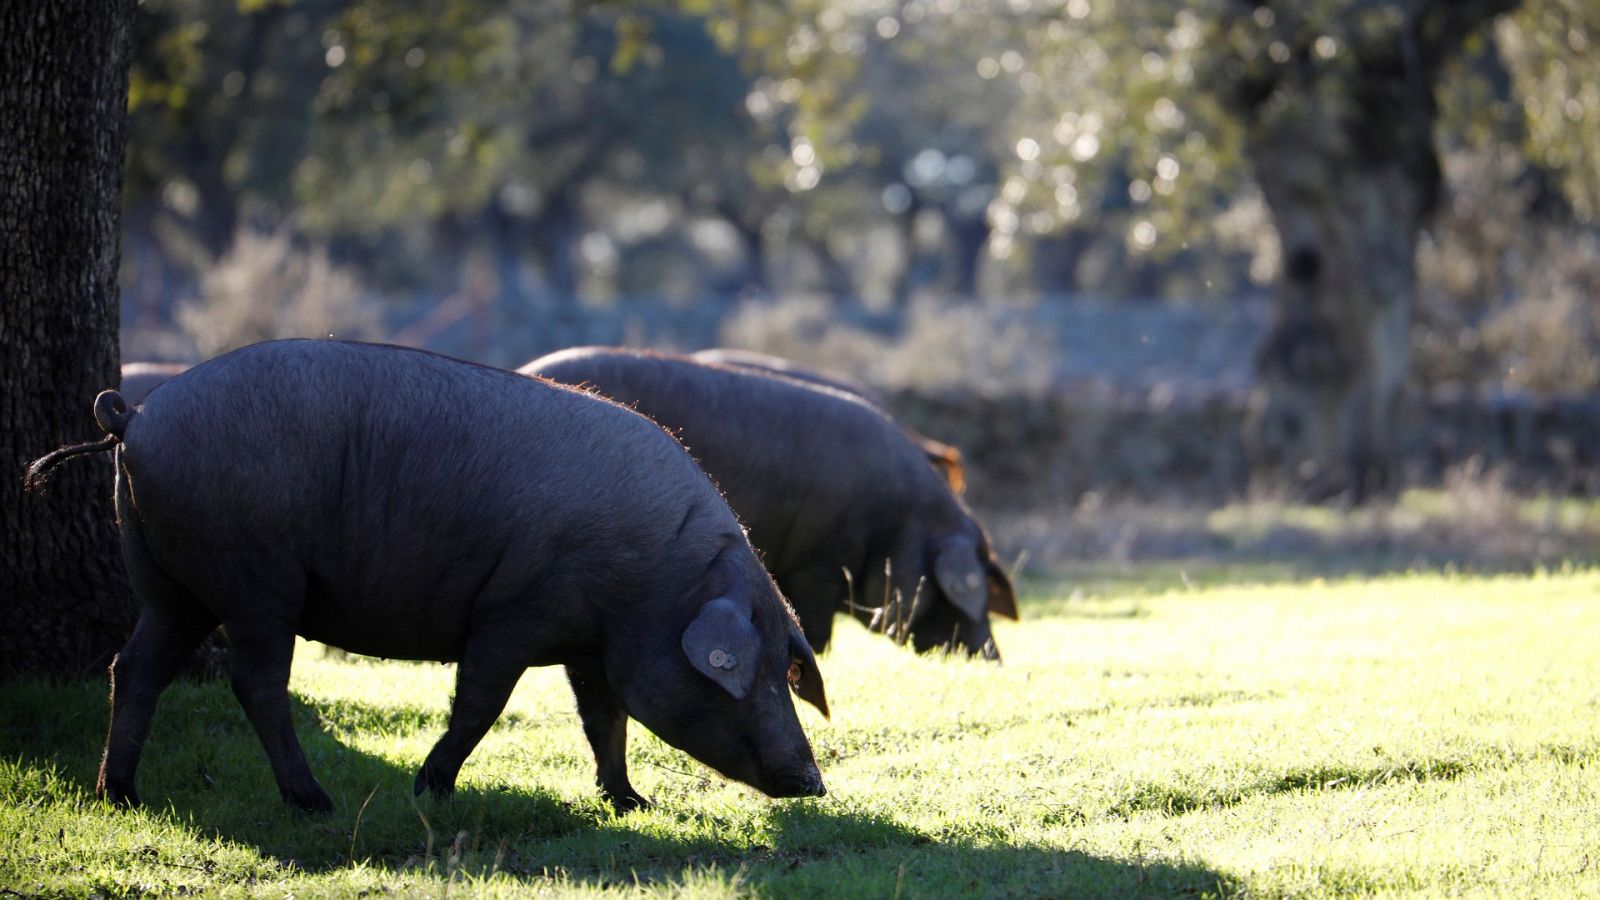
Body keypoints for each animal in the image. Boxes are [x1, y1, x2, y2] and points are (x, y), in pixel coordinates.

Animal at [28, 337, 825, 813]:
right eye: (757, 675)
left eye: (787, 672)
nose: (814, 781)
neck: (659, 582)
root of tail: (133, 418)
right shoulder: (514, 613)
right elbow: (481, 703)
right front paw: (431, 788)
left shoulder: (590, 644)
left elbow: (607, 719)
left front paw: (632, 804)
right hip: (254, 580)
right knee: (256, 683)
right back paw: (313, 802)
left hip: (168, 583)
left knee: (132, 668)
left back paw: (120, 795)